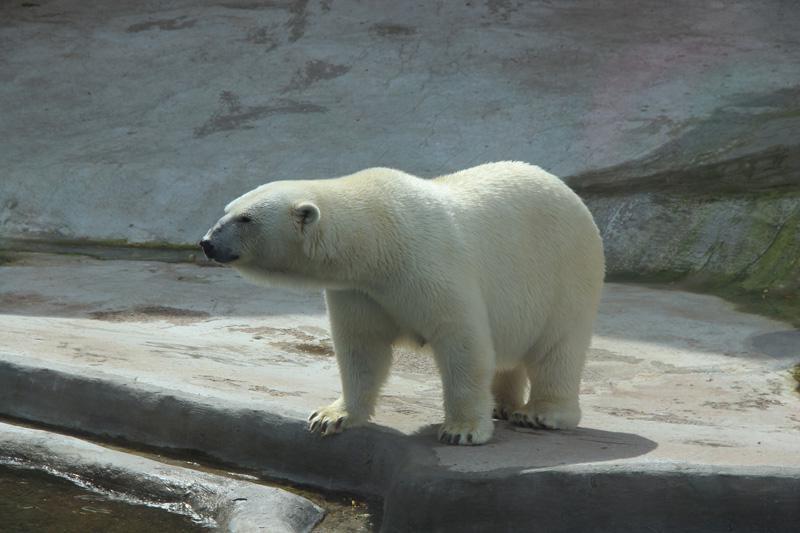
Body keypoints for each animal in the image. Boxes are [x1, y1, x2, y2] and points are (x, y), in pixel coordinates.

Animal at [201, 162, 605, 445]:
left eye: (245, 218)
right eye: (228, 209)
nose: (207, 242)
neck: (379, 239)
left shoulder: (429, 265)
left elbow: (462, 341)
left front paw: (461, 430)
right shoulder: (359, 290)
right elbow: (361, 348)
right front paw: (331, 417)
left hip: (566, 272)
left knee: (558, 348)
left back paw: (541, 413)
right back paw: (501, 404)